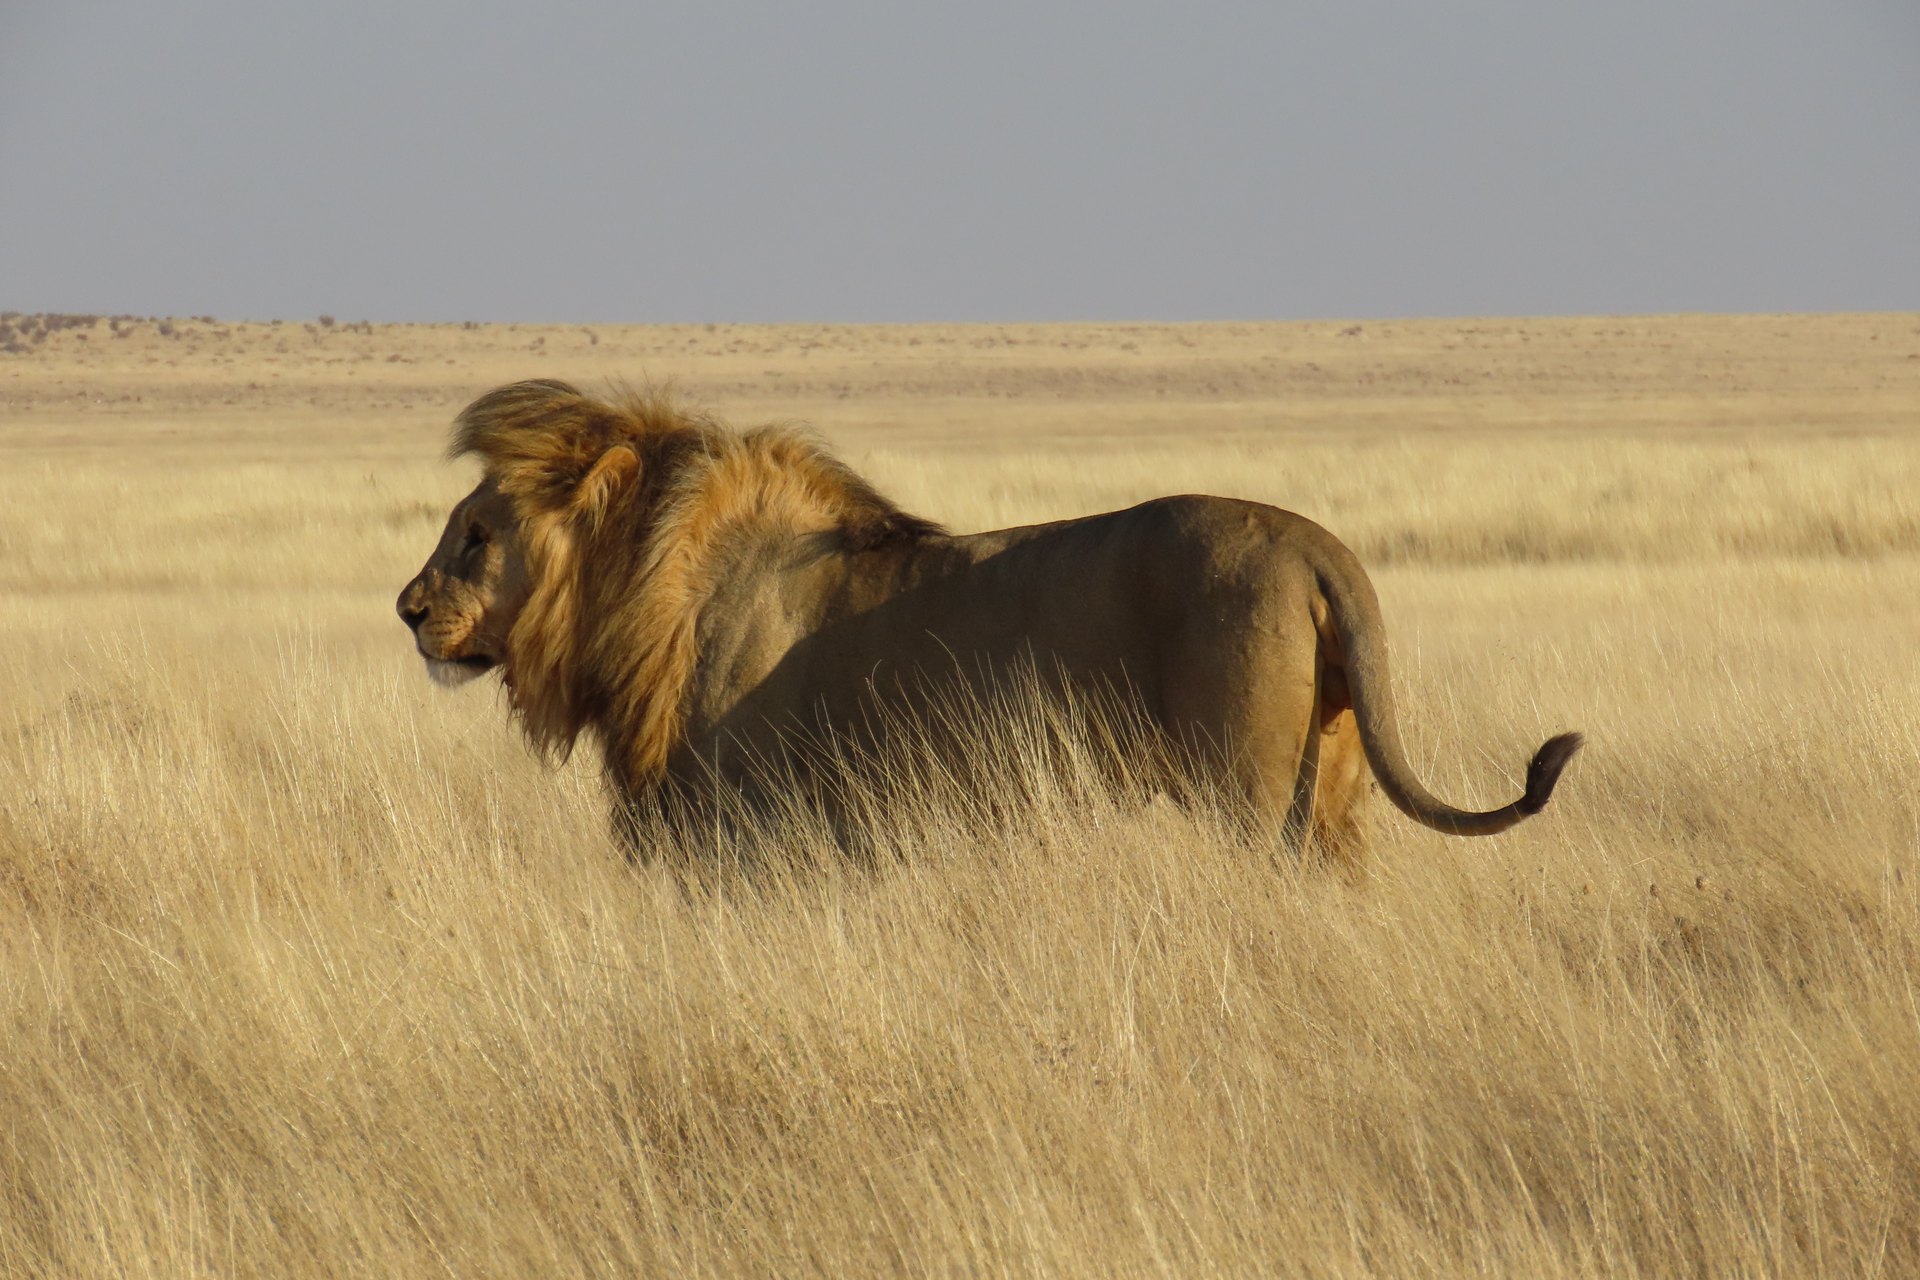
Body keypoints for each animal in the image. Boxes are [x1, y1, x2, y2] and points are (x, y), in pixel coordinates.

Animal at [396, 379, 1581, 864]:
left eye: (476, 537)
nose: (407, 611)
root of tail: (1317, 548)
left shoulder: (749, 828)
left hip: (1248, 796)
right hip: (1332, 794)